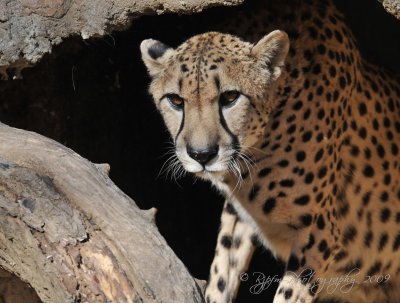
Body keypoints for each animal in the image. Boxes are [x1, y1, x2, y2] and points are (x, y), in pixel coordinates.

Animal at [140, 1, 400, 302]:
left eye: (230, 97)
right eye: (175, 100)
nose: (201, 154)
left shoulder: (319, 234)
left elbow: (288, 293)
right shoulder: (239, 213)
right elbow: (221, 274)